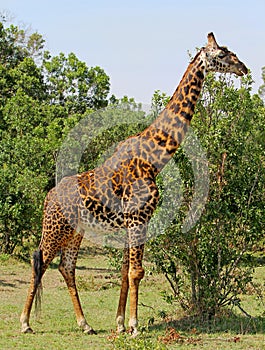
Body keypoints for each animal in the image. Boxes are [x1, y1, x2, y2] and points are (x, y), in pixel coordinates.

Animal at [19, 33, 246, 336]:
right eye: (221, 54)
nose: (243, 68)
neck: (154, 159)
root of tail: (48, 197)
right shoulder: (139, 218)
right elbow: (136, 271)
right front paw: (135, 326)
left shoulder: (132, 222)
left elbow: (126, 272)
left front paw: (119, 323)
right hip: (55, 228)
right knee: (40, 262)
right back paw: (25, 323)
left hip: (76, 231)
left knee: (66, 268)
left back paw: (85, 324)